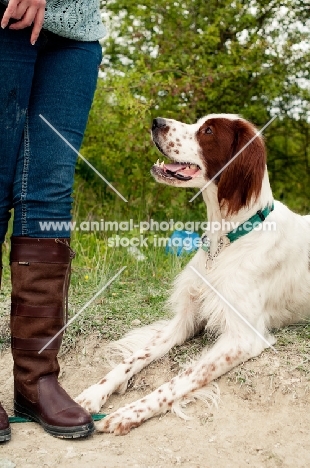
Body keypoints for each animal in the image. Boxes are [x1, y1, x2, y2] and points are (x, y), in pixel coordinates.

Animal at [75, 113, 310, 436]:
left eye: (208, 130)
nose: (156, 121)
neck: (225, 241)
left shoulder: (242, 338)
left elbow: (181, 379)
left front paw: (128, 413)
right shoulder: (186, 318)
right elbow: (135, 357)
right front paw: (93, 394)